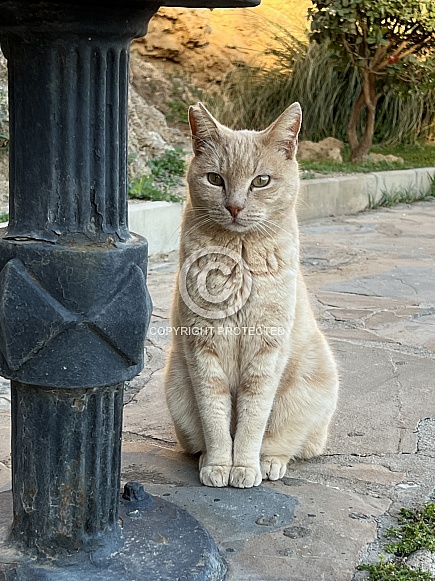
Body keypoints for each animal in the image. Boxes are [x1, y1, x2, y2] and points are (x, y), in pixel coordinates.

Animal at [164, 102, 338, 488]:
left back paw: (269, 462)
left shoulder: (266, 352)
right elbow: (215, 418)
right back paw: (205, 460)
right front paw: (219, 465)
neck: (239, 257)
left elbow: (253, 418)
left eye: (261, 181)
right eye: (215, 179)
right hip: (177, 390)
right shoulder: (203, 351)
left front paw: (243, 466)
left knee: (283, 442)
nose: (234, 207)